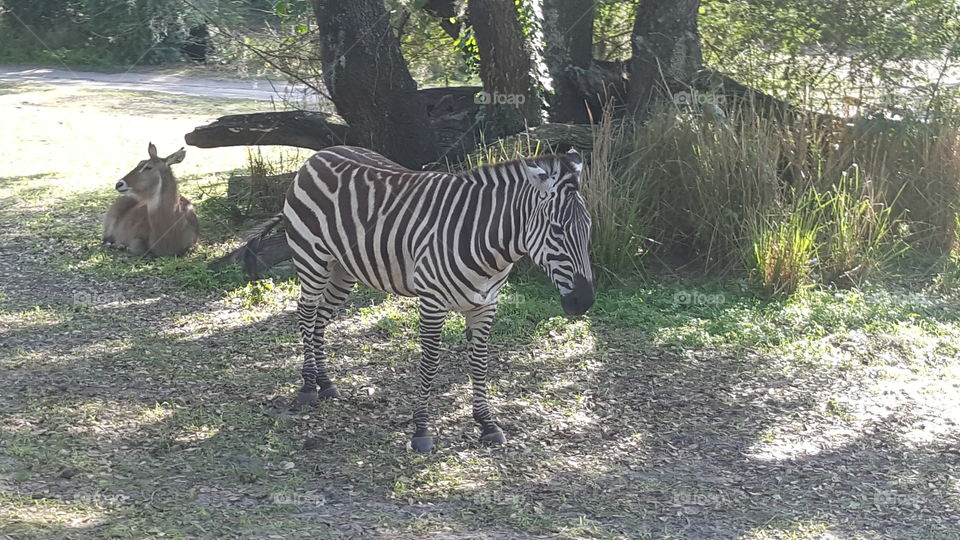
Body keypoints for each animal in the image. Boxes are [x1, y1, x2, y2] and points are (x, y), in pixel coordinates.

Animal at [225, 144, 592, 452]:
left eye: (588, 228)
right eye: (557, 230)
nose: (584, 302)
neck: (484, 240)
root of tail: (318, 155)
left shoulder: (486, 305)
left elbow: (480, 364)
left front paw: (487, 424)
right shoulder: (432, 303)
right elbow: (429, 365)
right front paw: (421, 431)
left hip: (344, 270)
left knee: (321, 318)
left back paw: (326, 384)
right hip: (312, 259)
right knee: (306, 312)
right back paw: (307, 387)